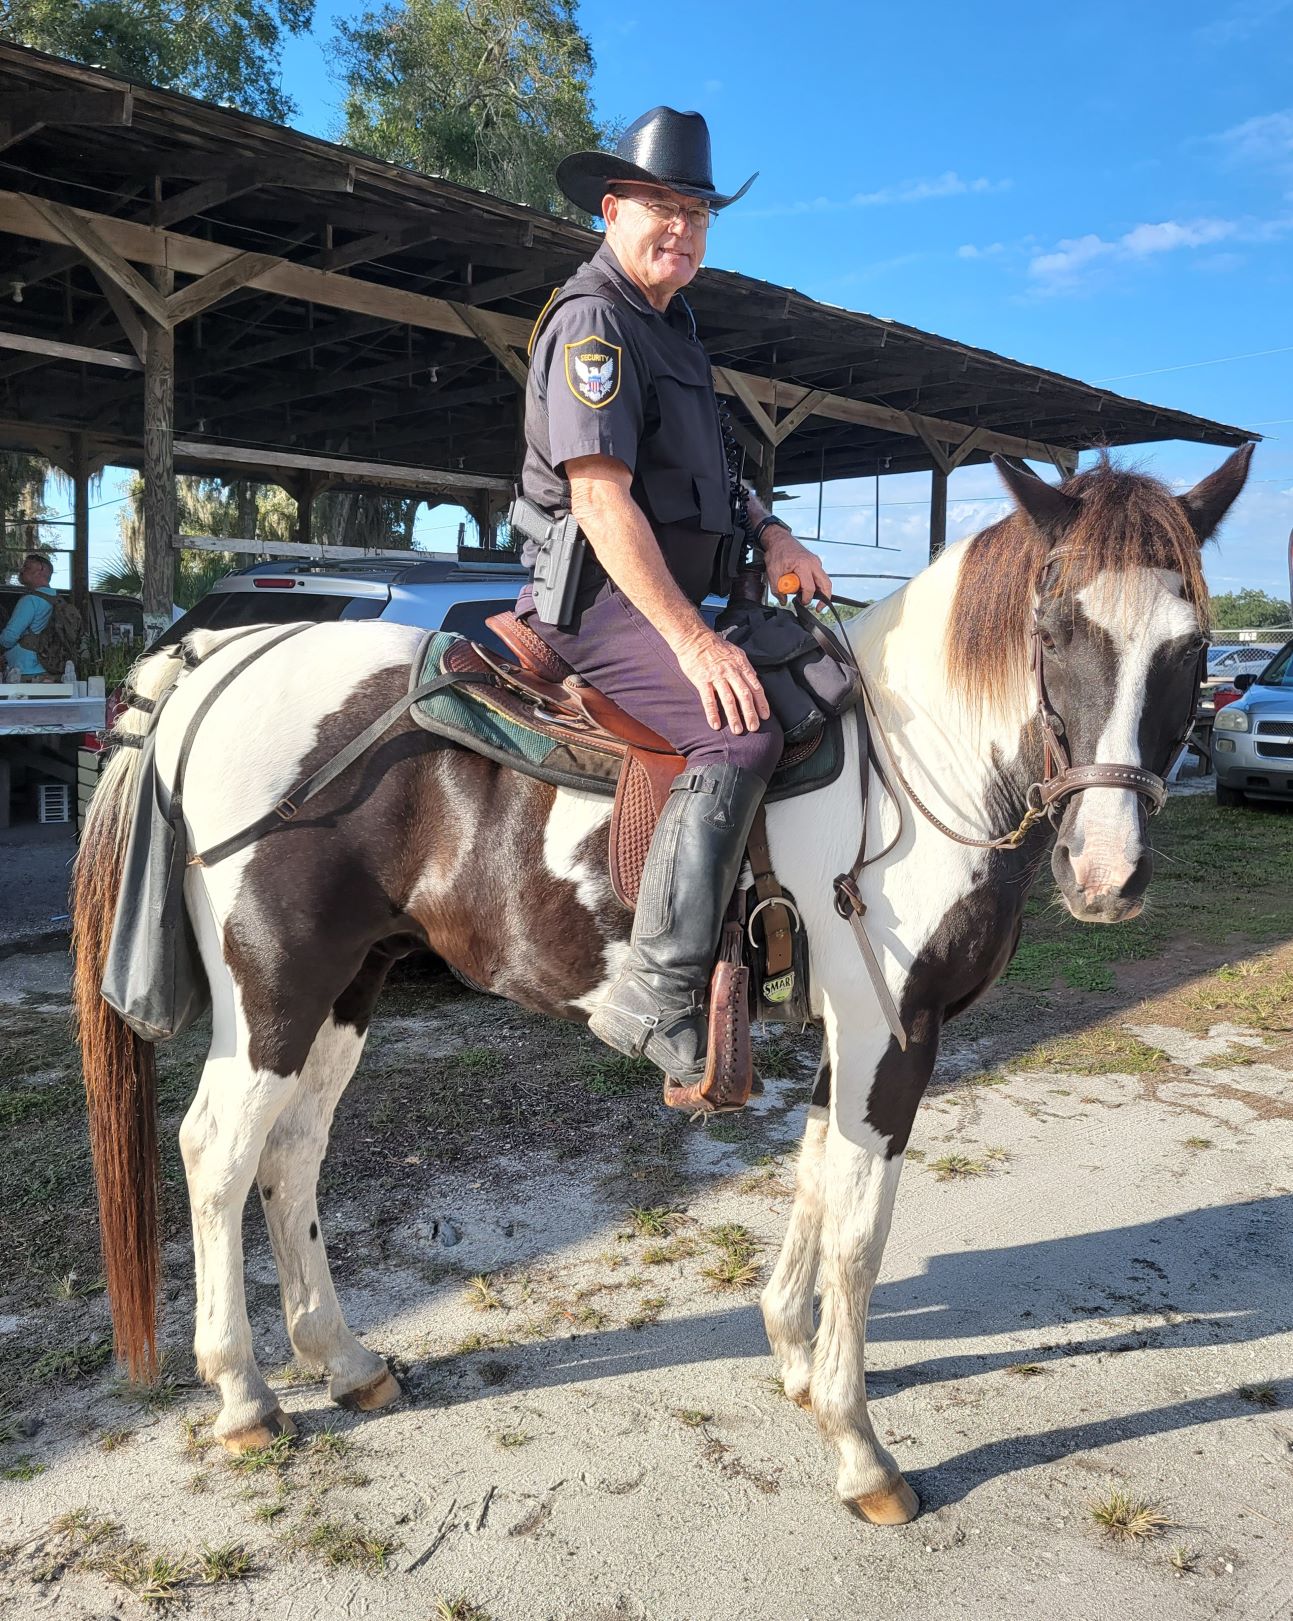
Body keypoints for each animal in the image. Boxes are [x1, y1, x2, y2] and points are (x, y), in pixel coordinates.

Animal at [73, 444, 1257, 1517]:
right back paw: (242, 1395)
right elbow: (862, 1231)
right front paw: (859, 1447)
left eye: (1193, 645)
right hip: (274, 992)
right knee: (218, 1152)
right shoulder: (894, 1031)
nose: (1106, 874)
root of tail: (216, 665)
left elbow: (814, 1180)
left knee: (293, 1153)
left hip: (349, 986)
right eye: (1055, 633)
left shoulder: (847, 1033)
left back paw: (346, 1358)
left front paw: (793, 1360)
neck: (912, 769)